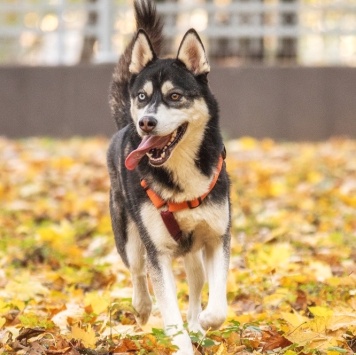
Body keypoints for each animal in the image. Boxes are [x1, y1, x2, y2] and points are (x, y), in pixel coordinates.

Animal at [107, 0, 231, 354]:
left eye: (175, 96)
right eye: (142, 97)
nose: (146, 122)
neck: (181, 176)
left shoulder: (217, 237)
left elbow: (218, 304)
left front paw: (205, 322)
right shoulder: (157, 253)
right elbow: (170, 314)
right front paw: (182, 341)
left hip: (194, 254)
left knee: (196, 284)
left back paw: (197, 324)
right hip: (129, 239)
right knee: (137, 272)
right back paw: (142, 307)